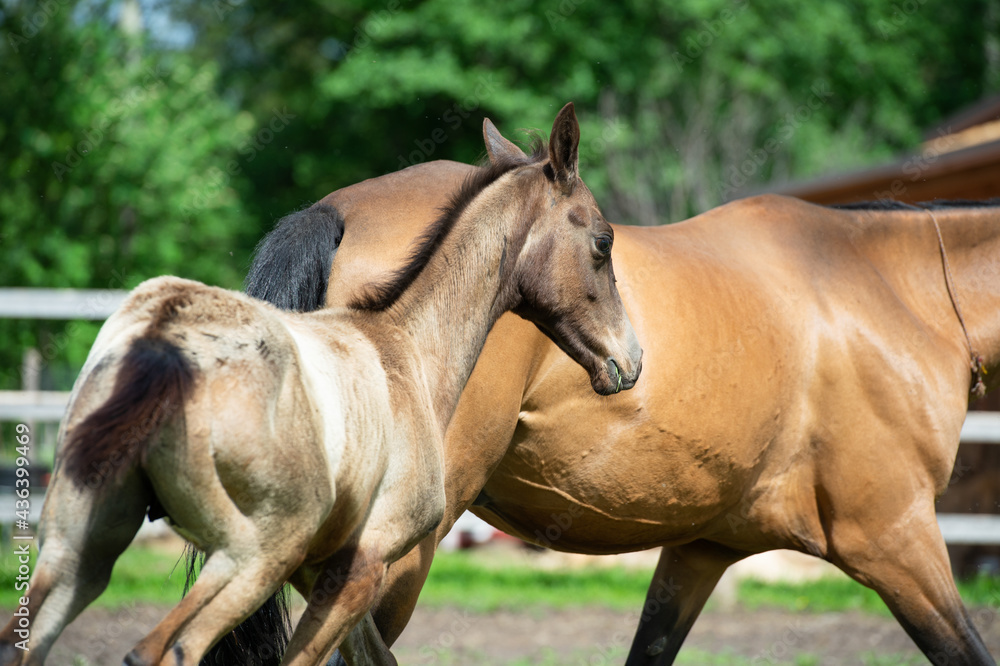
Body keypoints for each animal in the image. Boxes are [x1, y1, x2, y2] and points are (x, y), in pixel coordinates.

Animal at [0, 103, 643, 666]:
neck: (406, 346)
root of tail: (160, 339)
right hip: (252, 557)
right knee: (165, 648)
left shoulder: (323, 572)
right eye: (603, 241)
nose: (631, 359)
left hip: (80, 548)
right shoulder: (361, 568)